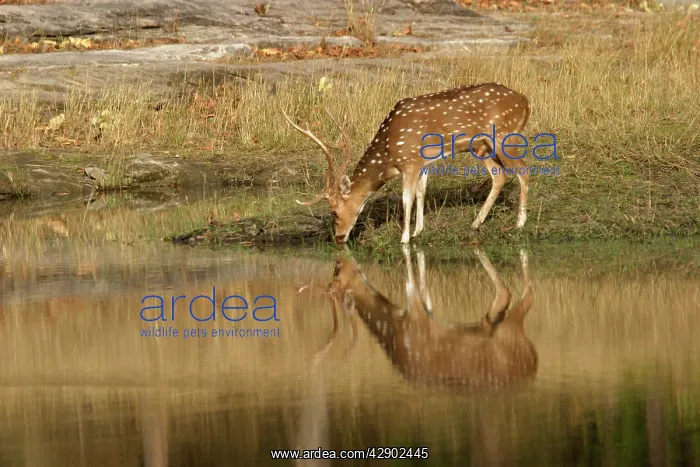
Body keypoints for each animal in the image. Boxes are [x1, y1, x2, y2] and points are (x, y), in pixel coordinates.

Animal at [283, 82, 531, 244]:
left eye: (333, 212)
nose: (339, 237)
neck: (388, 153)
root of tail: (525, 101)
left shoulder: (409, 161)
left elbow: (407, 197)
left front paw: (403, 239)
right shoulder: (423, 162)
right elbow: (422, 192)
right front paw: (417, 232)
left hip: (503, 137)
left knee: (523, 170)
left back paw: (519, 223)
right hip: (481, 147)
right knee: (500, 175)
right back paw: (476, 223)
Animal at [324, 246, 537, 388]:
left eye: (336, 273)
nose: (339, 258)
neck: (394, 327)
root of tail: (534, 363)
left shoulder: (417, 317)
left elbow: (412, 285)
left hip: (510, 331)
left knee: (523, 297)